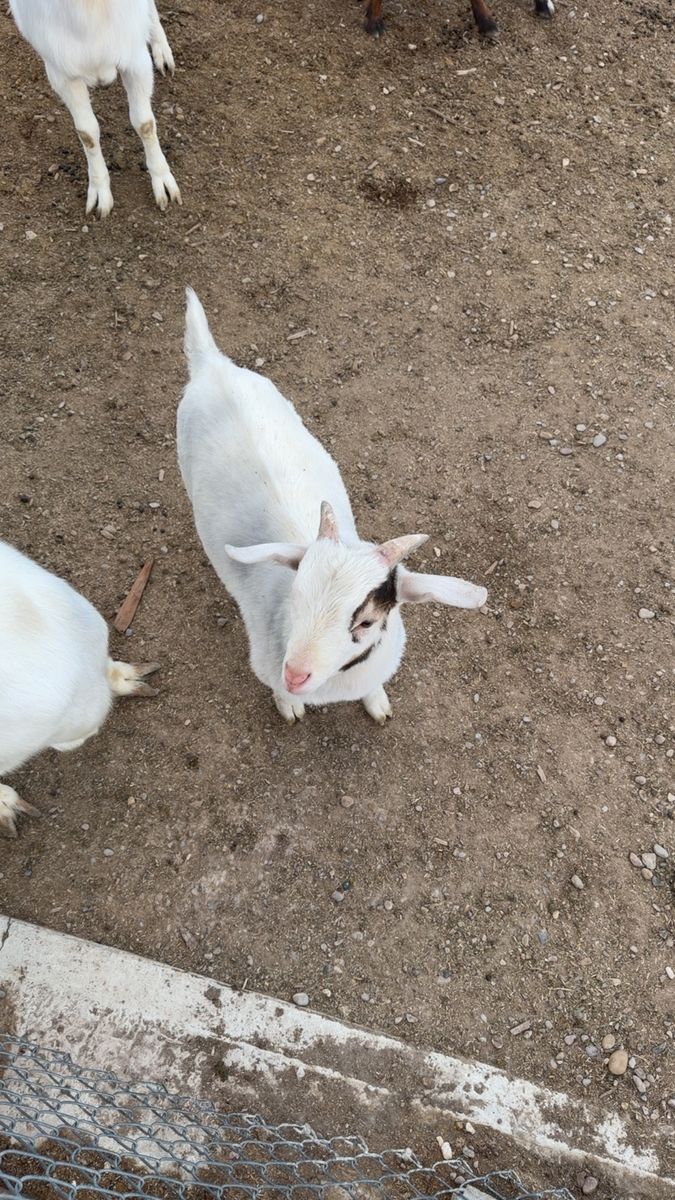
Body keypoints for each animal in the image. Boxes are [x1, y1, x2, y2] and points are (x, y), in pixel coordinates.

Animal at [9, 0, 181, 216]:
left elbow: (145, 124)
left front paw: (163, 182)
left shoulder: (135, 59)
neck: (91, 7)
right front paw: (100, 191)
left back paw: (161, 49)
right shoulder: (61, 72)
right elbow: (87, 133)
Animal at [177, 290, 487, 726]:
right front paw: (288, 706)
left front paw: (377, 703)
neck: (337, 682)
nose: (295, 675)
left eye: (367, 621)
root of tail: (211, 365)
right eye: (295, 595)